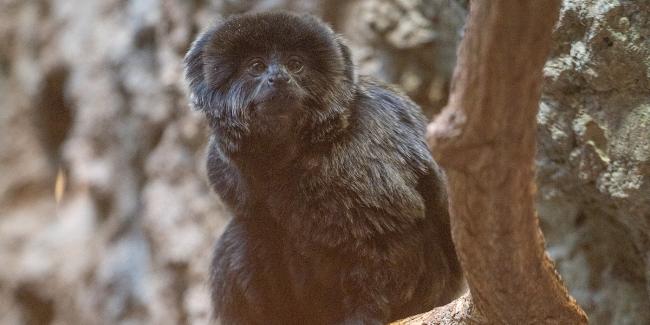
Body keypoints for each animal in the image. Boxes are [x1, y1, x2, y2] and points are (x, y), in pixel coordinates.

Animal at [182, 10, 460, 324]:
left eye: (295, 64)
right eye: (256, 66)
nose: (278, 78)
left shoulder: (366, 144)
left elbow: (385, 231)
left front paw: (366, 312)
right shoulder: (218, 162)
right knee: (249, 230)